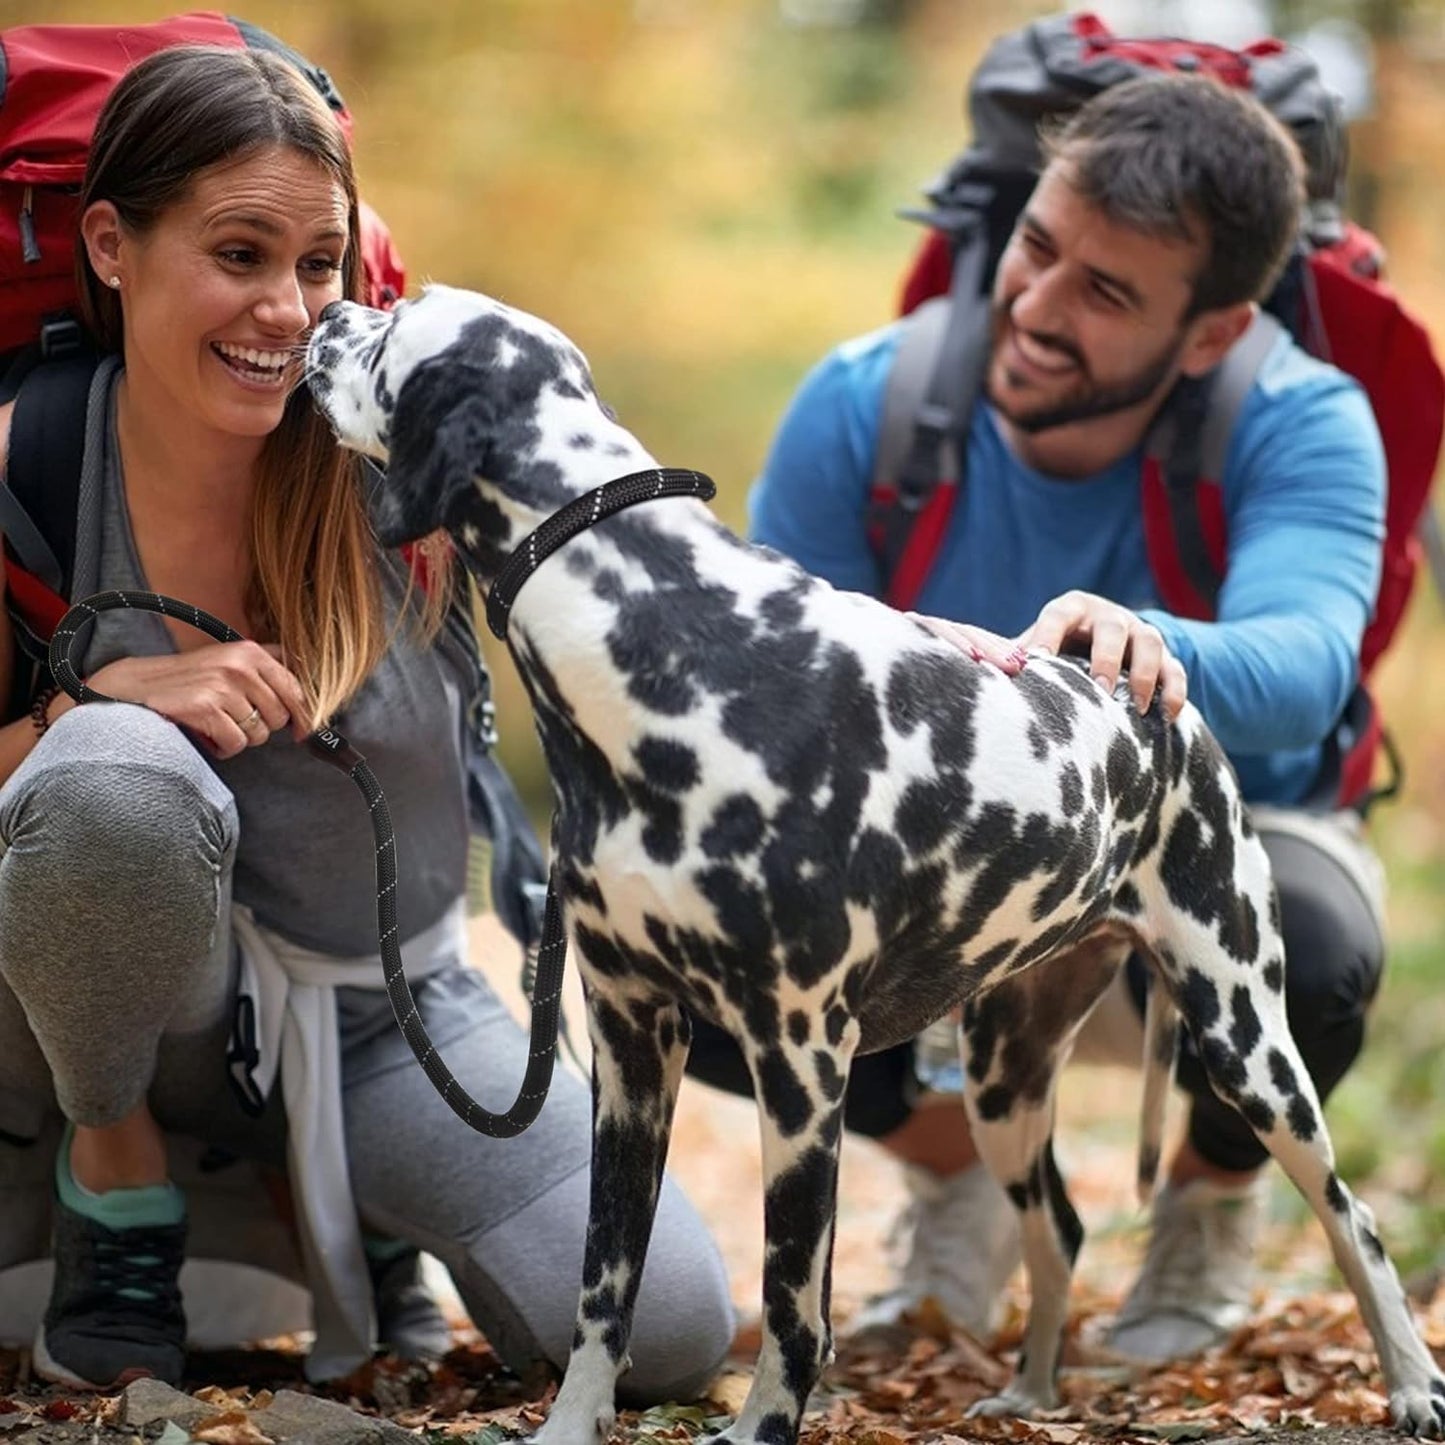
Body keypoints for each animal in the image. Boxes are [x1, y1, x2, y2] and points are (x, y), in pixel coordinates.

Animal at [304, 284, 1445, 1445]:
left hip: (1245, 1043)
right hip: (1004, 1083)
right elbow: (602, 1287)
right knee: (1060, 1230)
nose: (331, 307)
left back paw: (1407, 1382)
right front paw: (572, 1426)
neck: (661, 639)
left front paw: (758, 1429)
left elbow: (791, 1301)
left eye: (396, 316)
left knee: (1351, 1218)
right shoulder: (630, 1048)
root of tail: (1158, 702)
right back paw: (1031, 1391)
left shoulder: (800, 1062)